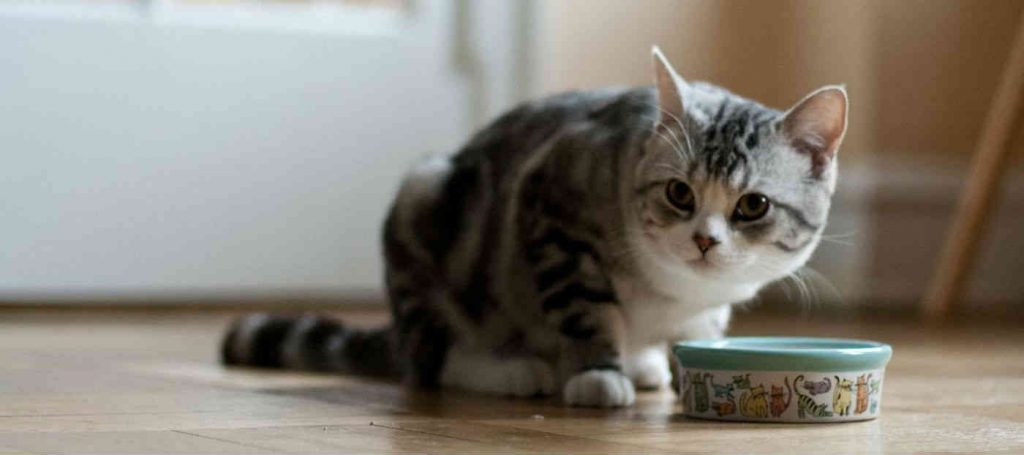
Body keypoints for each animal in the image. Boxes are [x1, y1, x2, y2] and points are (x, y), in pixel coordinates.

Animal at [222, 47, 847, 407]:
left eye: (753, 206)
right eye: (679, 193)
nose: (703, 240)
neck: (675, 290)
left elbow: (702, 332)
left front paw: (674, 362)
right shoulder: (553, 210)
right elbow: (582, 306)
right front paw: (597, 374)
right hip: (423, 202)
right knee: (430, 360)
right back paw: (514, 370)